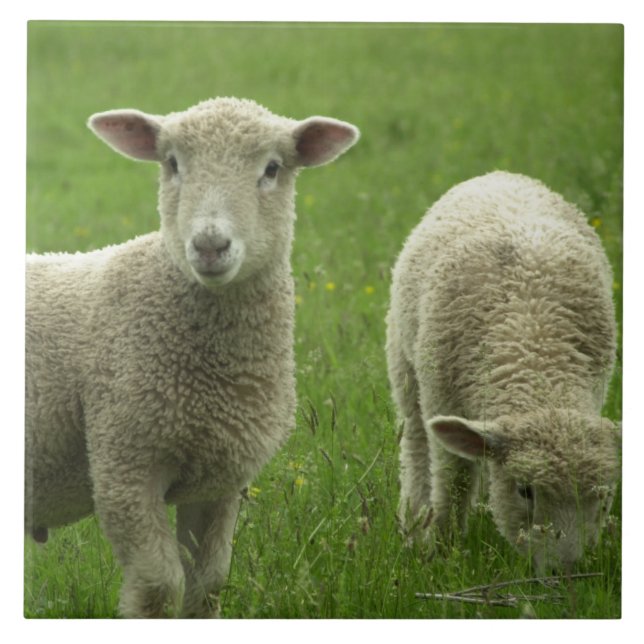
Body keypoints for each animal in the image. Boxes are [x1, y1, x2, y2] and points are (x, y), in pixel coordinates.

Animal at [25, 97, 359, 618]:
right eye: (172, 164)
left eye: (272, 168)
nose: (210, 245)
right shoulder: (123, 464)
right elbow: (159, 586)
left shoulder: (220, 478)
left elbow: (208, 585)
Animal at [386, 171, 620, 572]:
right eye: (524, 491)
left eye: (603, 498)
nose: (564, 573)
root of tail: (498, 175)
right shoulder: (442, 394)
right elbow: (454, 481)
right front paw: (442, 551)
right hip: (405, 365)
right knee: (416, 445)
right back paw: (414, 520)